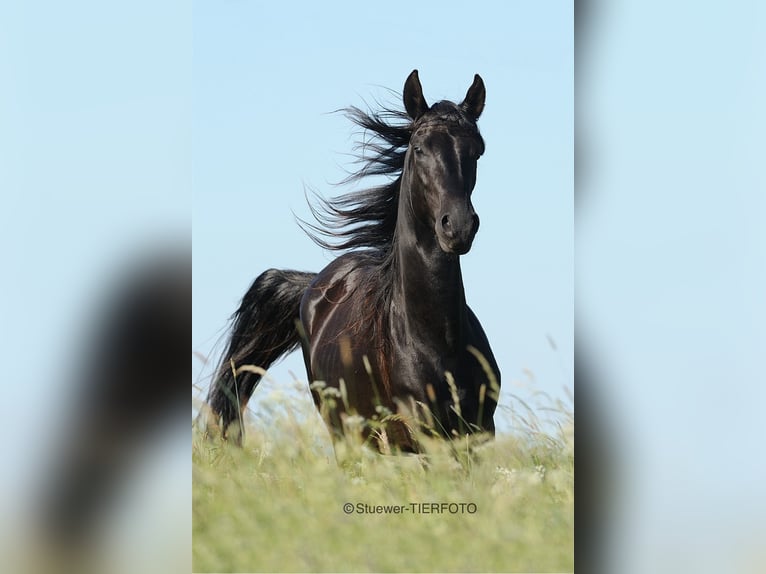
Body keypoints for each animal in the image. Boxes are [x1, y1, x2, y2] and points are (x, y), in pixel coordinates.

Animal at [204, 70, 500, 452]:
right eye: (419, 149)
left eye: (477, 151)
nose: (459, 226)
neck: (438, 343)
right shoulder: (425, 438)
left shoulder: (477, 437)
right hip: (348, 437)